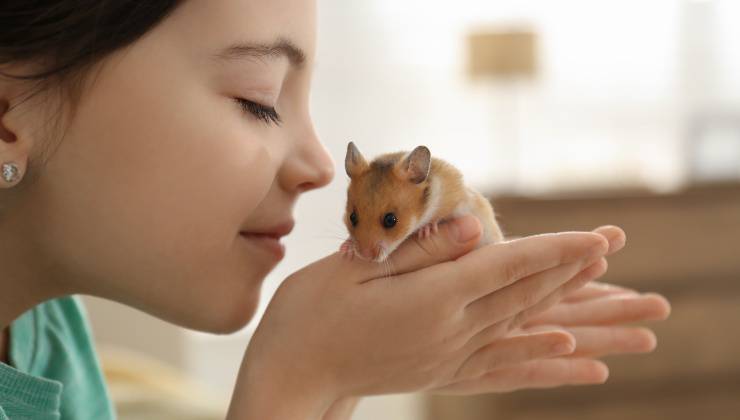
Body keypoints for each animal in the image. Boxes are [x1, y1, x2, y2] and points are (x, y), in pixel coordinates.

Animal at [340, 142, 502, 262]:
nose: (364, 256)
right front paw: (345, 249)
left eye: (390, 220)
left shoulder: (455, 199)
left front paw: (426, 231)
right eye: (352, 217)